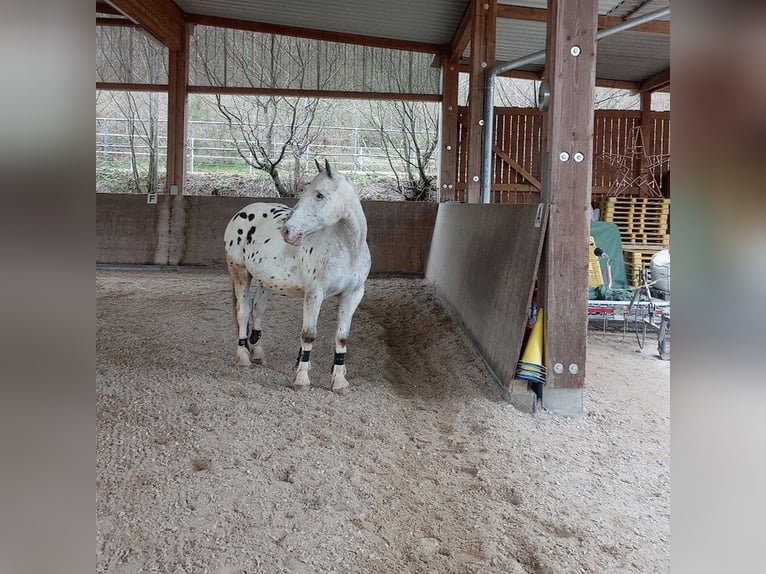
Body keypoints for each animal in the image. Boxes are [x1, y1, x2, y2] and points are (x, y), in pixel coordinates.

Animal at [223, 159, 371, 394]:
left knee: (258, 311)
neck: (347, 250)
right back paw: (244, 356)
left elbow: (342, 338)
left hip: (266, 282)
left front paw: (339, 381)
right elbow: (308, 335)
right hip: (241, 275)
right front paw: (302, 379)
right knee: (243, 313)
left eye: (319, 195)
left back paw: (257, 352)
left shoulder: (353, 295)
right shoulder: (314, 294)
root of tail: (242, 213)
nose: (287, 231)